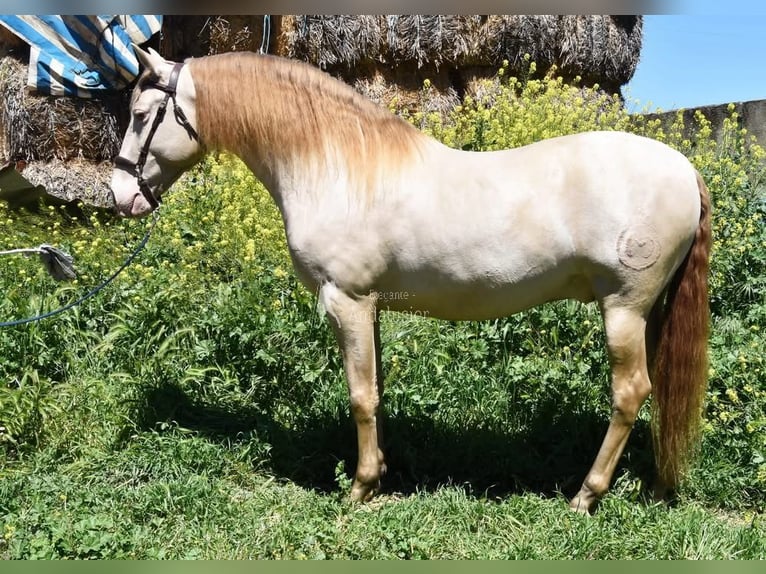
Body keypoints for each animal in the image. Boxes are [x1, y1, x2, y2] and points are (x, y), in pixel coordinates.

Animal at [110, 46, 711, 514]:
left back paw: (586, 495)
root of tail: (683, 166)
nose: (121, 197)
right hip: (644, 313)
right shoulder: (369, 306)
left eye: (140, 114)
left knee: (630, 393)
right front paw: (380, 473)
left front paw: (359, 488)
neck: (338, 167)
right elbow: (377, 392)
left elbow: (359, 397)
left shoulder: (346, 302)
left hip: (623, 309)